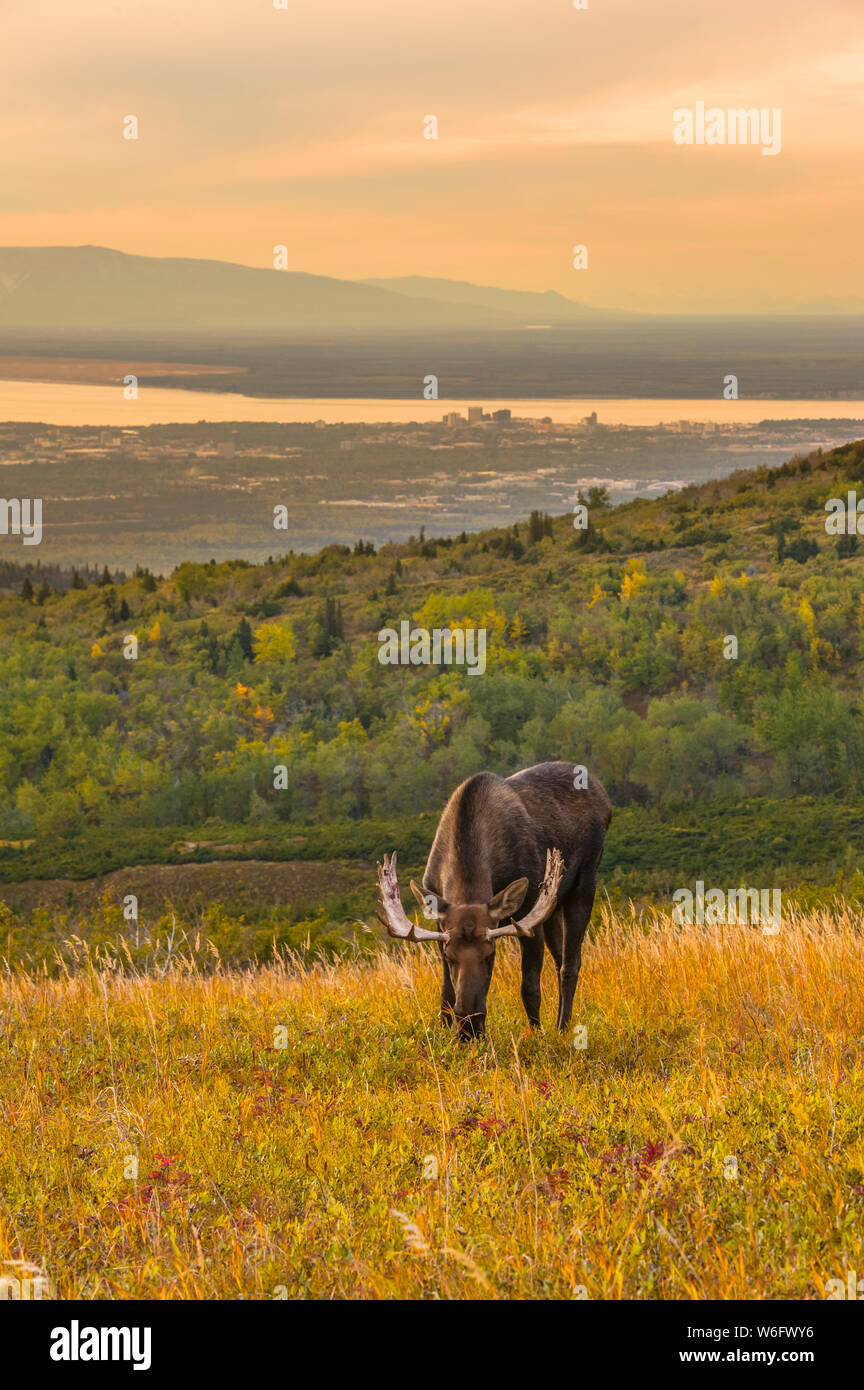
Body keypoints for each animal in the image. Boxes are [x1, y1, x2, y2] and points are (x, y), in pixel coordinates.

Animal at [375, 761, 613, 1045]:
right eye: (451, 957)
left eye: (491, 956)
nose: (469, 1026)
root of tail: (604, 795)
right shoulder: (439, 924)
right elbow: (446, 992)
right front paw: (445, 1031)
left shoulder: (528, 913)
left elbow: (529, 987)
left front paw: (537, 1033)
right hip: (554, 904)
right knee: (559, 960)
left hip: (585, 881)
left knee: (571, 964)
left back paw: (562, 1027)